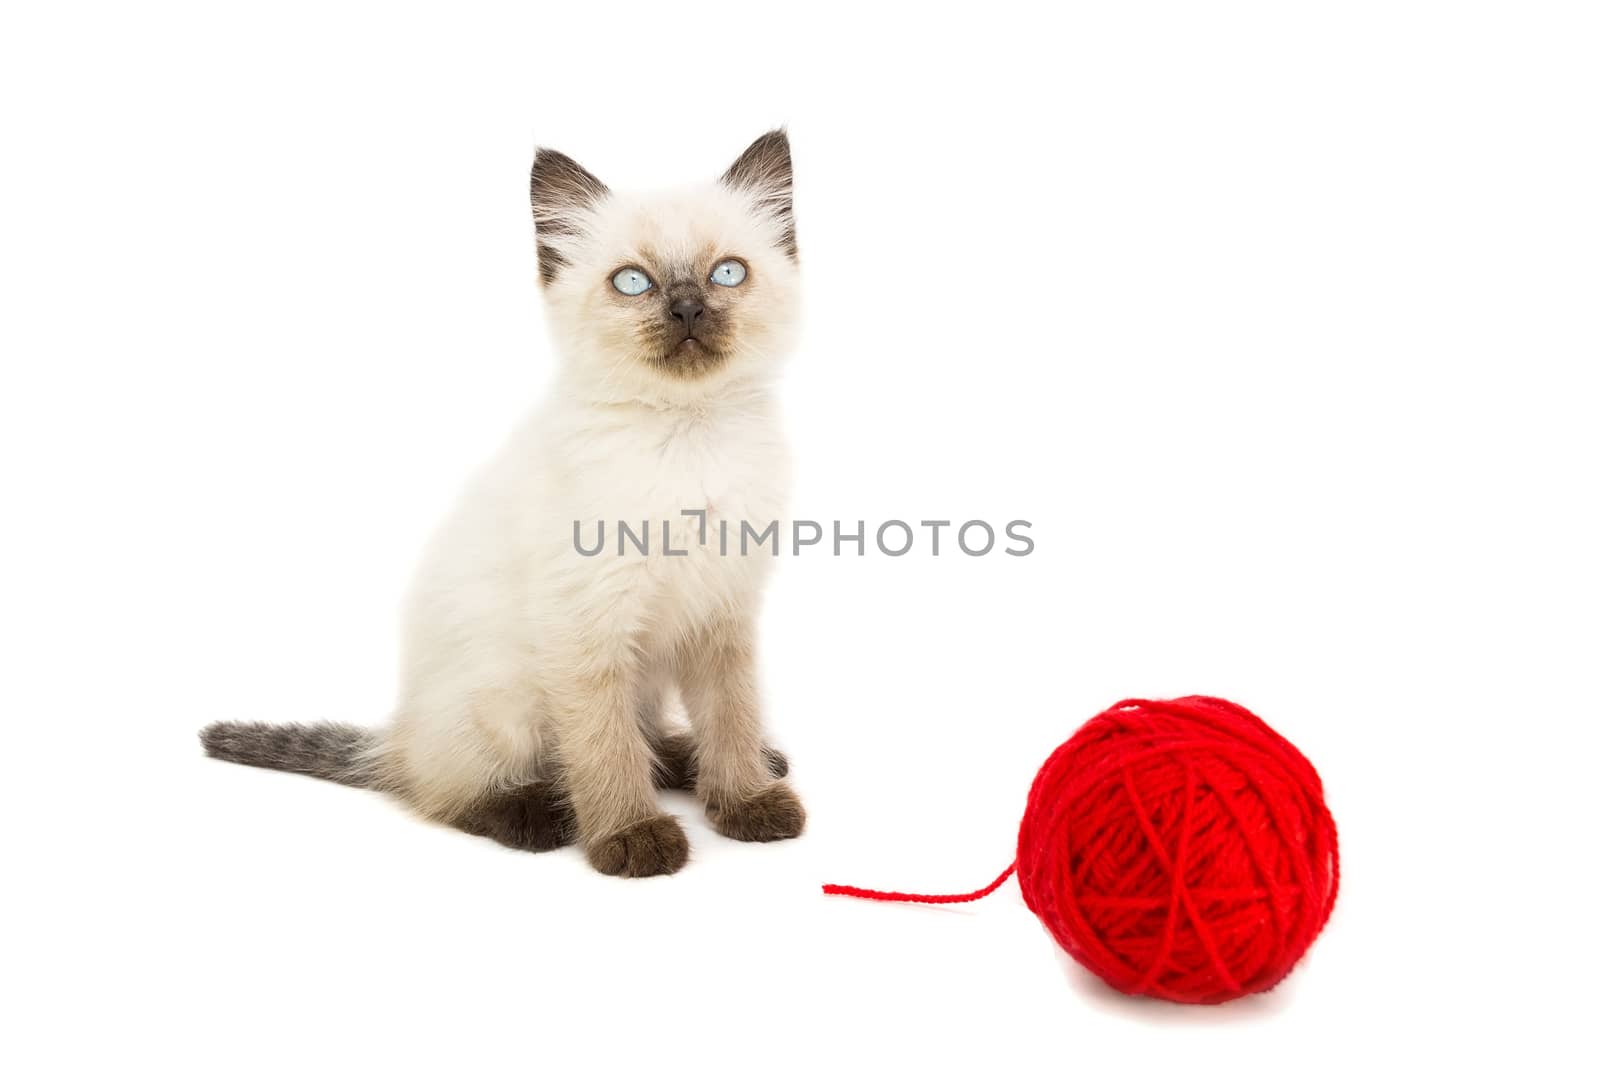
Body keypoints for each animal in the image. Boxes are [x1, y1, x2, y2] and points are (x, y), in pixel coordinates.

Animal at [206, 129, 806, 876]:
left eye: (726, 273)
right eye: (633, 282)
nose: (688, 310)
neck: (687, 437)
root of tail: (396, 732)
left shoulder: (723, 612)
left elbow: (730, 717)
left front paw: (746, 800)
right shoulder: (587, 627)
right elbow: (604, 748)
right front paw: (632, 837)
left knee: (647, 738)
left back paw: (706, 761)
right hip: (505, 704)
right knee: (449, 789)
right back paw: (538, 814)